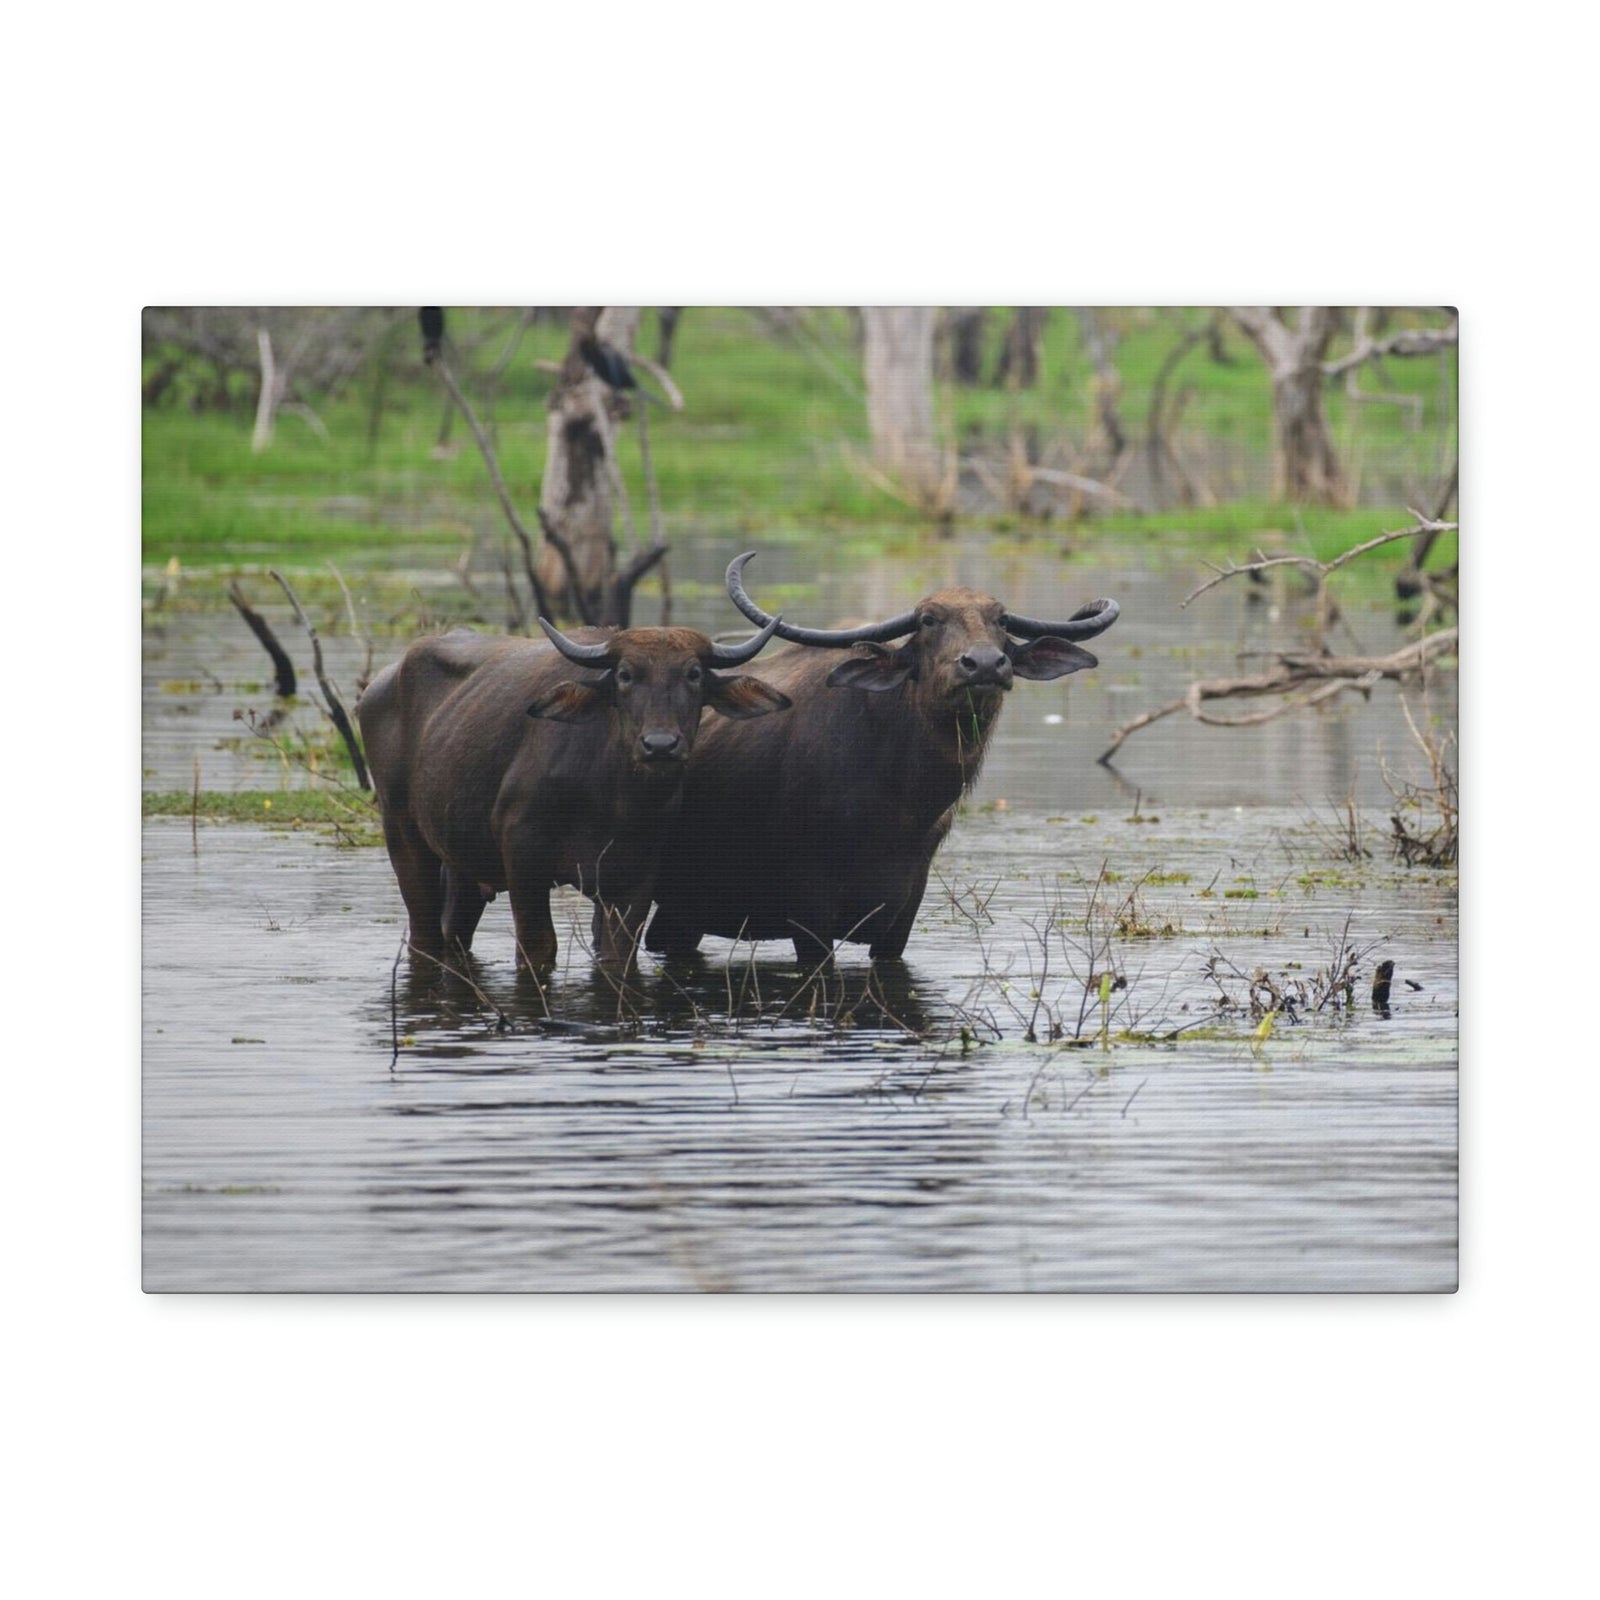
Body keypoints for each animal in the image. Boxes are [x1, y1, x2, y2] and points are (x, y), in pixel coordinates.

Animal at [358, 615, 791, 976]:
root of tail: (378, 686)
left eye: (694, 673)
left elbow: (618, 956)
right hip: (402, 832)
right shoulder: (524, 864)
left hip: (462, 859)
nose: (660, 745)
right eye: (625, 675)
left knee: (454, 931)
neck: (613, 798)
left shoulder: (635, 879)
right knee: (425, 935)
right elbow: (538, 950)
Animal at [644, 554, 1120, 963]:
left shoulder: (902, 914)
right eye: (928, 620)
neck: (898, 803)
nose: (984, 664)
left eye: (1000, 619)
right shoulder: (809, 911)